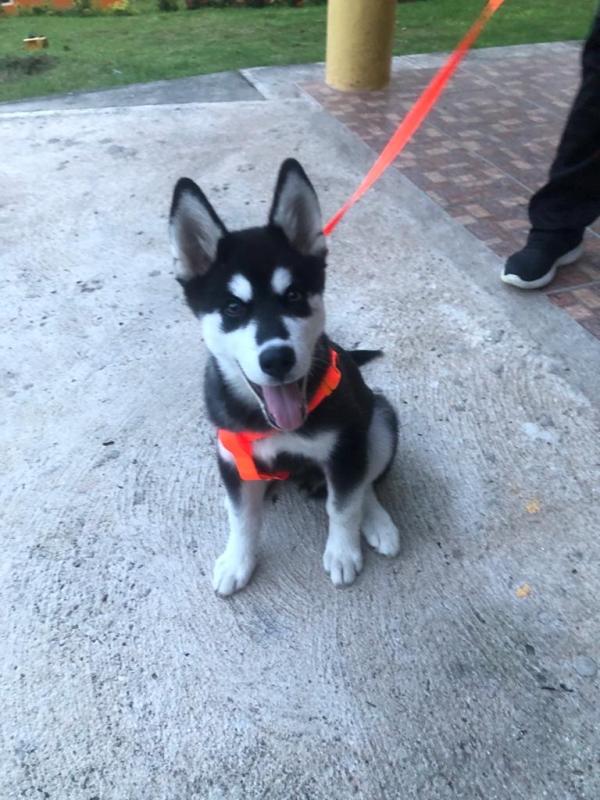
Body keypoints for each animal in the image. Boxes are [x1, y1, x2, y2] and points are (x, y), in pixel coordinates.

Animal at [169, 159, 400, 595]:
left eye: (293, 296)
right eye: (233, 308)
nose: (277, 358)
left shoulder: (346, 445)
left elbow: (344, 504)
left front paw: (342, 552)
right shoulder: (231, 456)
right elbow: (242, 517)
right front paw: (237, 561)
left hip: (379, 418)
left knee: (367, 482)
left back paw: (378, 522)